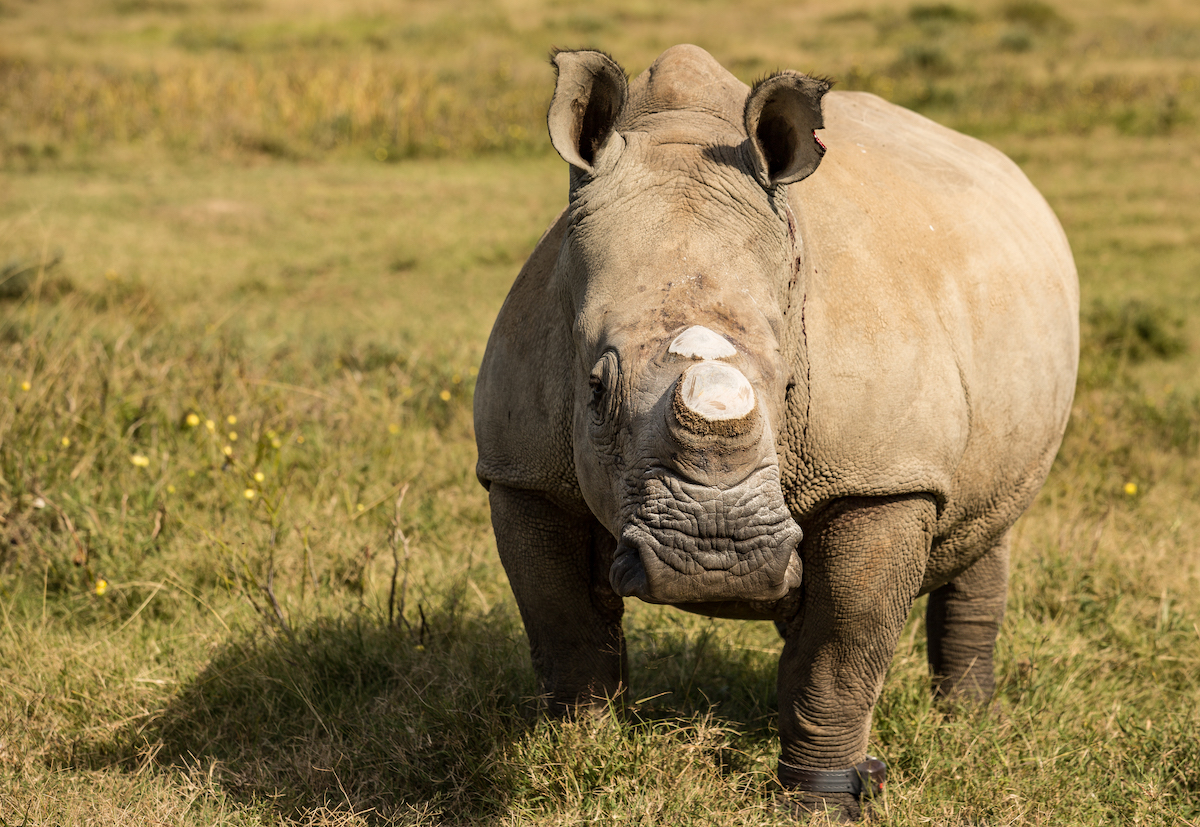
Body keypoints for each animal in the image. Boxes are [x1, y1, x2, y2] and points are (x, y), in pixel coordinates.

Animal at [472, 43, 1084, 811]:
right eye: (594, 388)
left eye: (791, 385)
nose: (715, 556)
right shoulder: (522, 470)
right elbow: (564, 629)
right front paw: (579, 761)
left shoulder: (882, 478)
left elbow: (843, 645)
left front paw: (820, 801)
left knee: (988, 527)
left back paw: (965, 723)